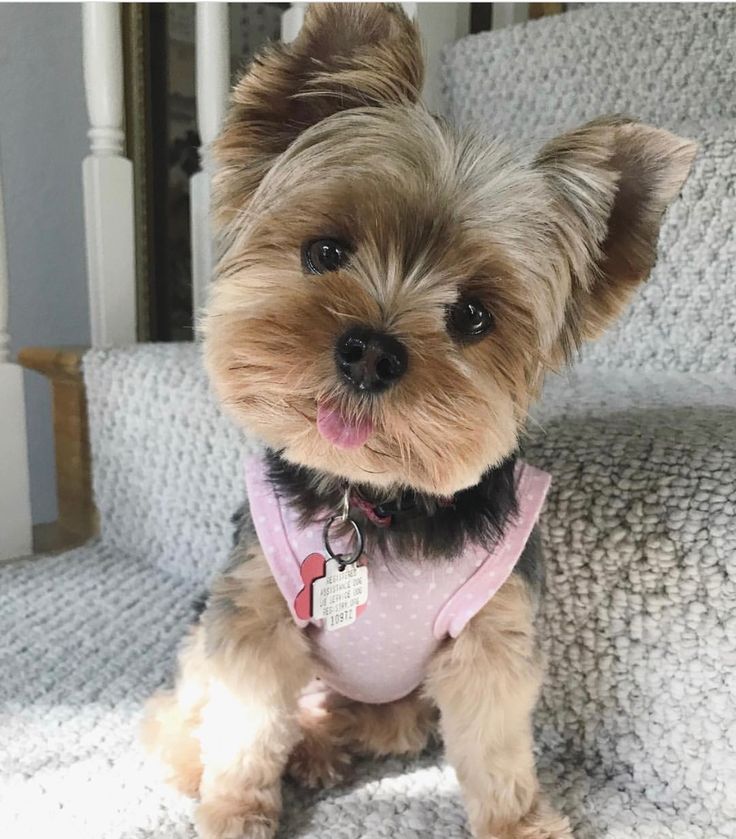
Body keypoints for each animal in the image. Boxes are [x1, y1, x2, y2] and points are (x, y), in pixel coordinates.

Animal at [142, 3, 696, 836]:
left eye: (473, 316)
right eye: (325, 250)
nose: (372, 351)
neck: (375, 503)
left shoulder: (491, 635)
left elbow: (497, 743)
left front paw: (519, 821)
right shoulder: (256, 617)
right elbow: (245, 723)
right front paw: (235, 809)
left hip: (398, 707)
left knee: (359, 719)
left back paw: (321, 747)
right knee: (182, 707)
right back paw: (210, 758)